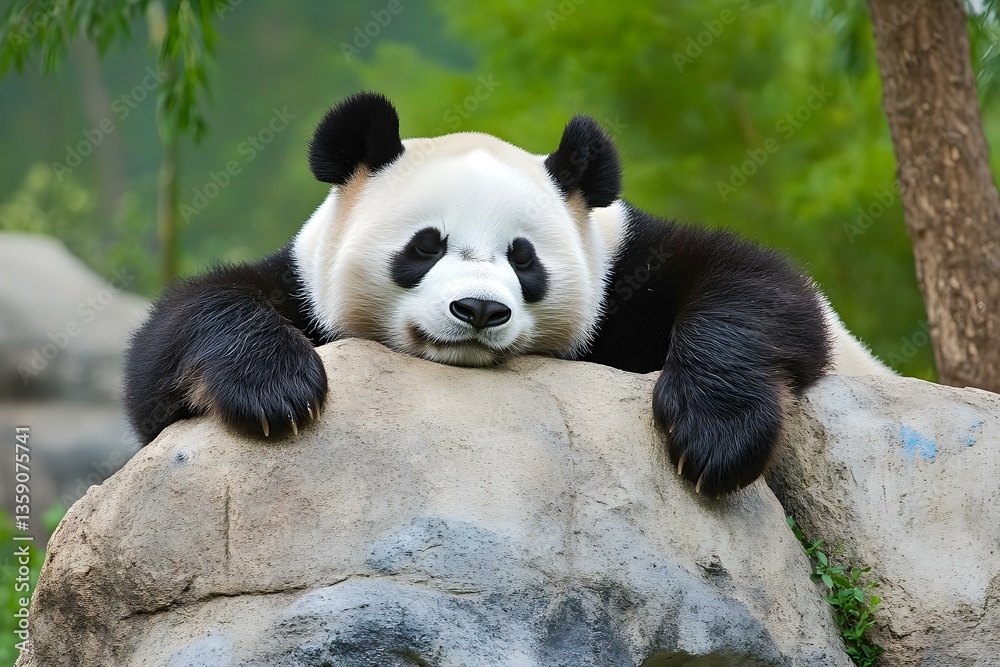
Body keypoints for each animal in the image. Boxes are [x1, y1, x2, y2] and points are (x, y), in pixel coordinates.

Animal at [124, 91, 890, 496]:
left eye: (525, 260)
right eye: (425, 246)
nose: (479, 311)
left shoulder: (625, 267)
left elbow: (762, 289)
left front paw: (714, 437)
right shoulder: (305, 287)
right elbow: (170, 346)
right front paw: (276, 392)